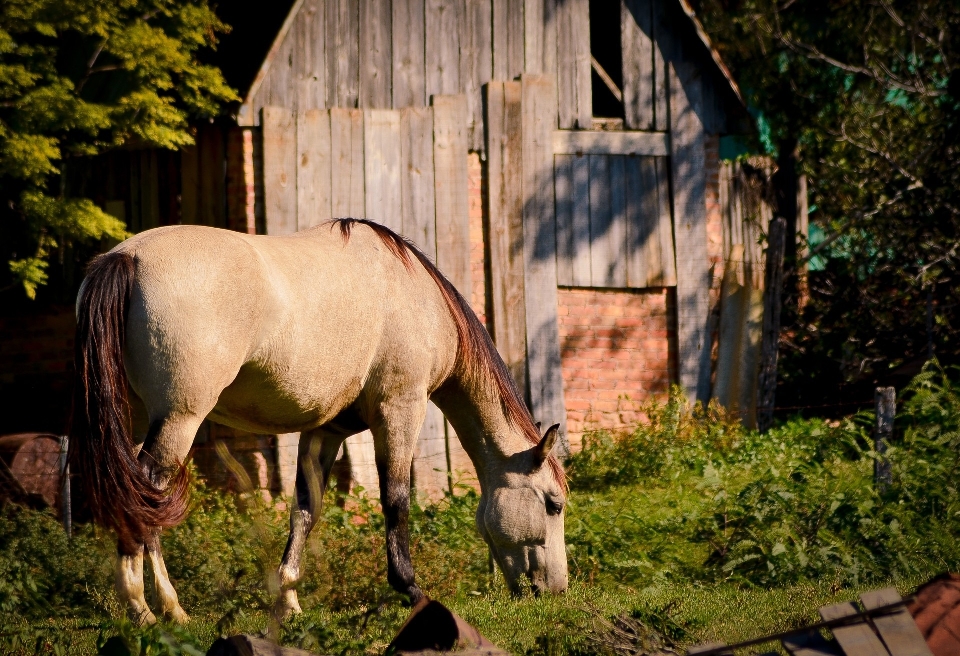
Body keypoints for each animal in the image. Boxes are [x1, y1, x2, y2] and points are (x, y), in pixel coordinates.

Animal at [73, 218, 568, 624]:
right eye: (553, 504)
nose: (557, 591)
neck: (411, 292)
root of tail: (126, 258)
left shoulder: (324, 431)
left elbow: (304, 510)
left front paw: (288, 601)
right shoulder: (400, 409)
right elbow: (396, 501)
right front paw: (410, 589)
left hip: (142, 421)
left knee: (140, 496)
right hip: (179, 421)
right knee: (145, 497)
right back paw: (150, 608)